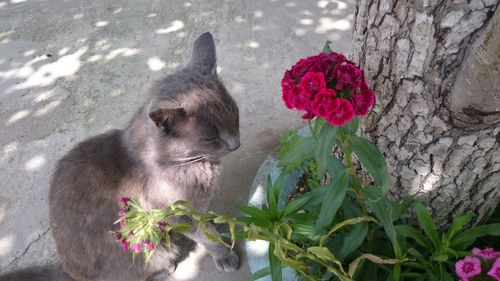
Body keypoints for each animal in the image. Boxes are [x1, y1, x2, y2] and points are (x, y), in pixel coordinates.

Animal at [0, 31, 241, 278]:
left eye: (236, 118)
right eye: (212, 138)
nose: (236, 145)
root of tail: (69, 270)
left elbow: (206, 220)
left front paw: (216, 222)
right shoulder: (176, 213)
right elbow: (205, 234)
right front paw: (224, 253)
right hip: (146, 247)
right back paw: (164, 270)